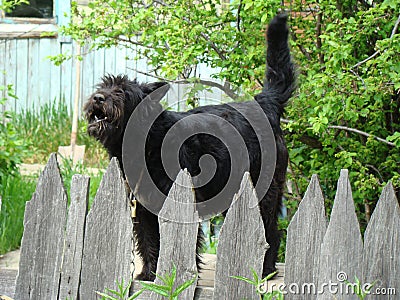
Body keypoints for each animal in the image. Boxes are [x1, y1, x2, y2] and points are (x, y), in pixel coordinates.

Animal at [84, 13, 296, 282]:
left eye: (122, 91)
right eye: (103, 87)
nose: (98, 98)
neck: (147, 140)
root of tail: (265, 103)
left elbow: (178, 242)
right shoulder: (143, 209)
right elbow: (149, 240)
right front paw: (149, 274)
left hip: (264, 191)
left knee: (270, 231)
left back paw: (265, 270)